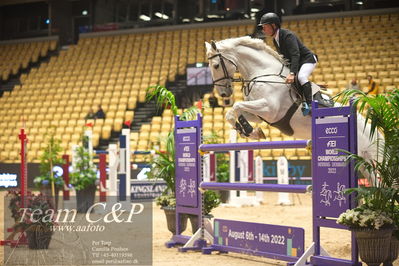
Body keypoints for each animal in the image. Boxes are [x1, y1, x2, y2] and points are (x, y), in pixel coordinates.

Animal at [208, 35, 380, 168]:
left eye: (216, 65)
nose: (223, 93)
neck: (263, 73)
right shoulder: (260, 114)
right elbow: (235, 112)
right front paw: (250, 131)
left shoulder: (270, 110)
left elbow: (236, 106)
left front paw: (249, 130)